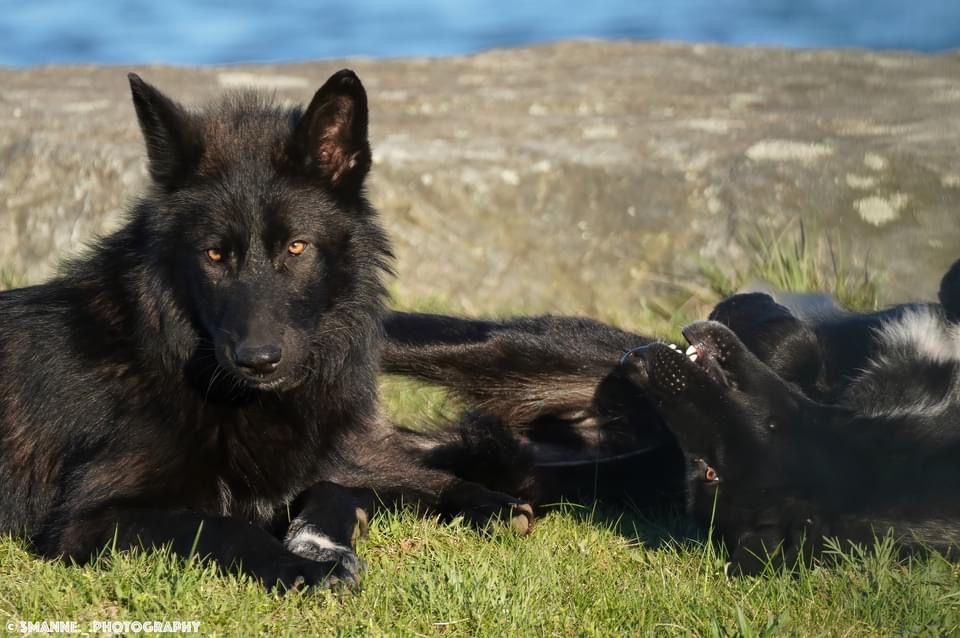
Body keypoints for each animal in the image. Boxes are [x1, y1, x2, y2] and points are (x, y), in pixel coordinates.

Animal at [0, 70, 531, 591]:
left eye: (296, 247)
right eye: (215, 254)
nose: (258, 359)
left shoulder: (332, 460)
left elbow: (368, 478)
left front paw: (483, 500)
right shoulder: (88, 521)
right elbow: (220, 524)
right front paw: (302, 565)